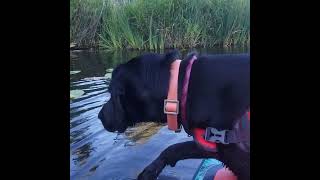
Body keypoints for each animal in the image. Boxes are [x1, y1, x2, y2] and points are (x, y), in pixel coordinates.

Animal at [97, 50, 250, 179]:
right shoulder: (213, 143)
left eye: (111, 93)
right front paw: (151, 170)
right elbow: (174, 149)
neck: (181, 86)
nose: (99, 116)